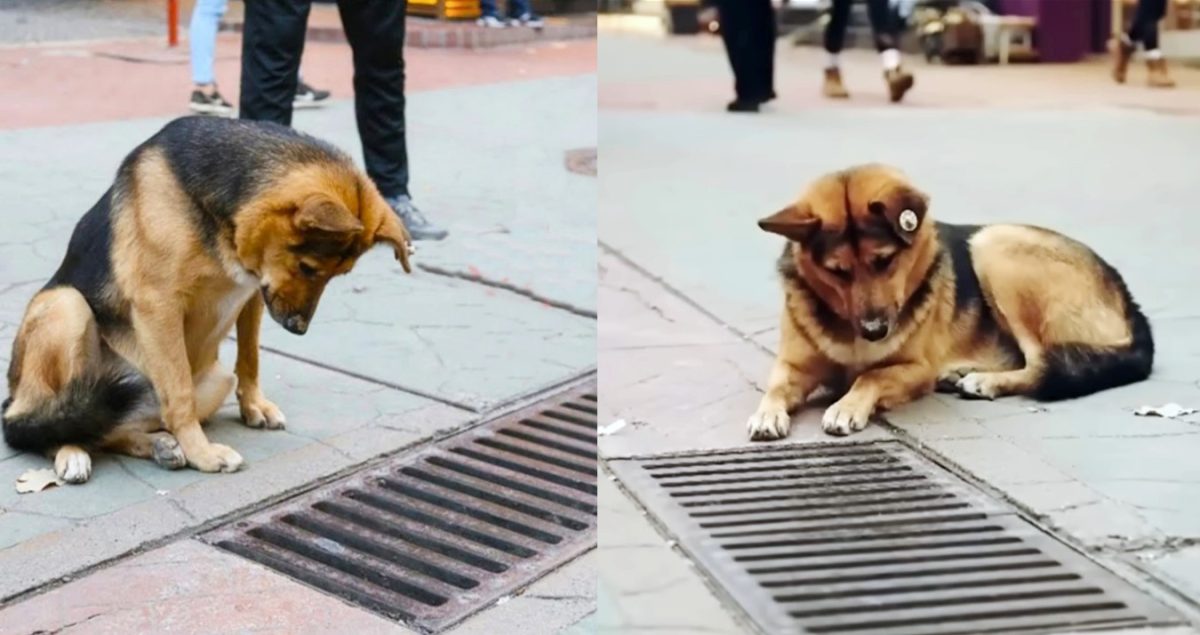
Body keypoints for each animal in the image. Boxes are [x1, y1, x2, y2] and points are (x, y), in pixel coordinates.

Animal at [748, 163, 1152, 439]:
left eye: (884, 261)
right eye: (838, 271)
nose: (875, 331)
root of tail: (1129, 298)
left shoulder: (915, 369)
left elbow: (870, 375)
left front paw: (846, 405)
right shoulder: (793, 366)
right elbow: (776, 387)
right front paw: (767, 413)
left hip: (994, 248)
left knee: (1042, 362)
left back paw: (985, 382)